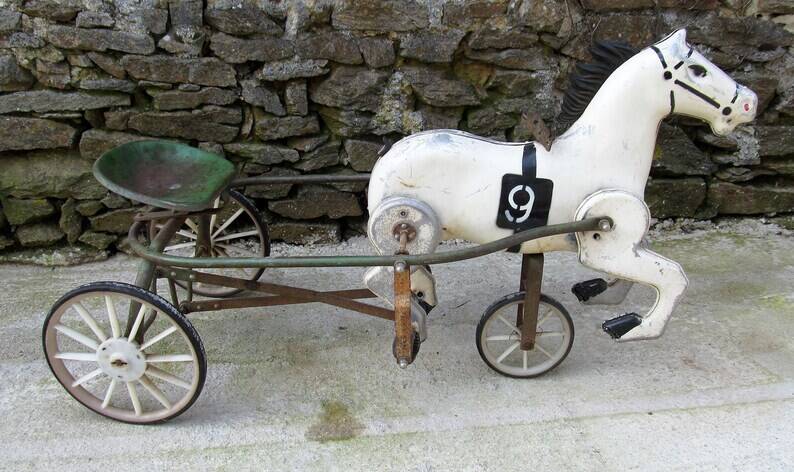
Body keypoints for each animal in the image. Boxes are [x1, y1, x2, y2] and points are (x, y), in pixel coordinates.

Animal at [363, 29, 757, 343]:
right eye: (697, 70)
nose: (749, 103)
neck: (600, 151)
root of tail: (385, 157)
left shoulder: (627, 240)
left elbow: (640, 271)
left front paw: (599, 294)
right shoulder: (603, 244)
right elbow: (672, 276)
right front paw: (633, 327)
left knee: (408, 275)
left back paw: (424, 297)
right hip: (407, 233)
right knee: (378, 277)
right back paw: (415, 320)